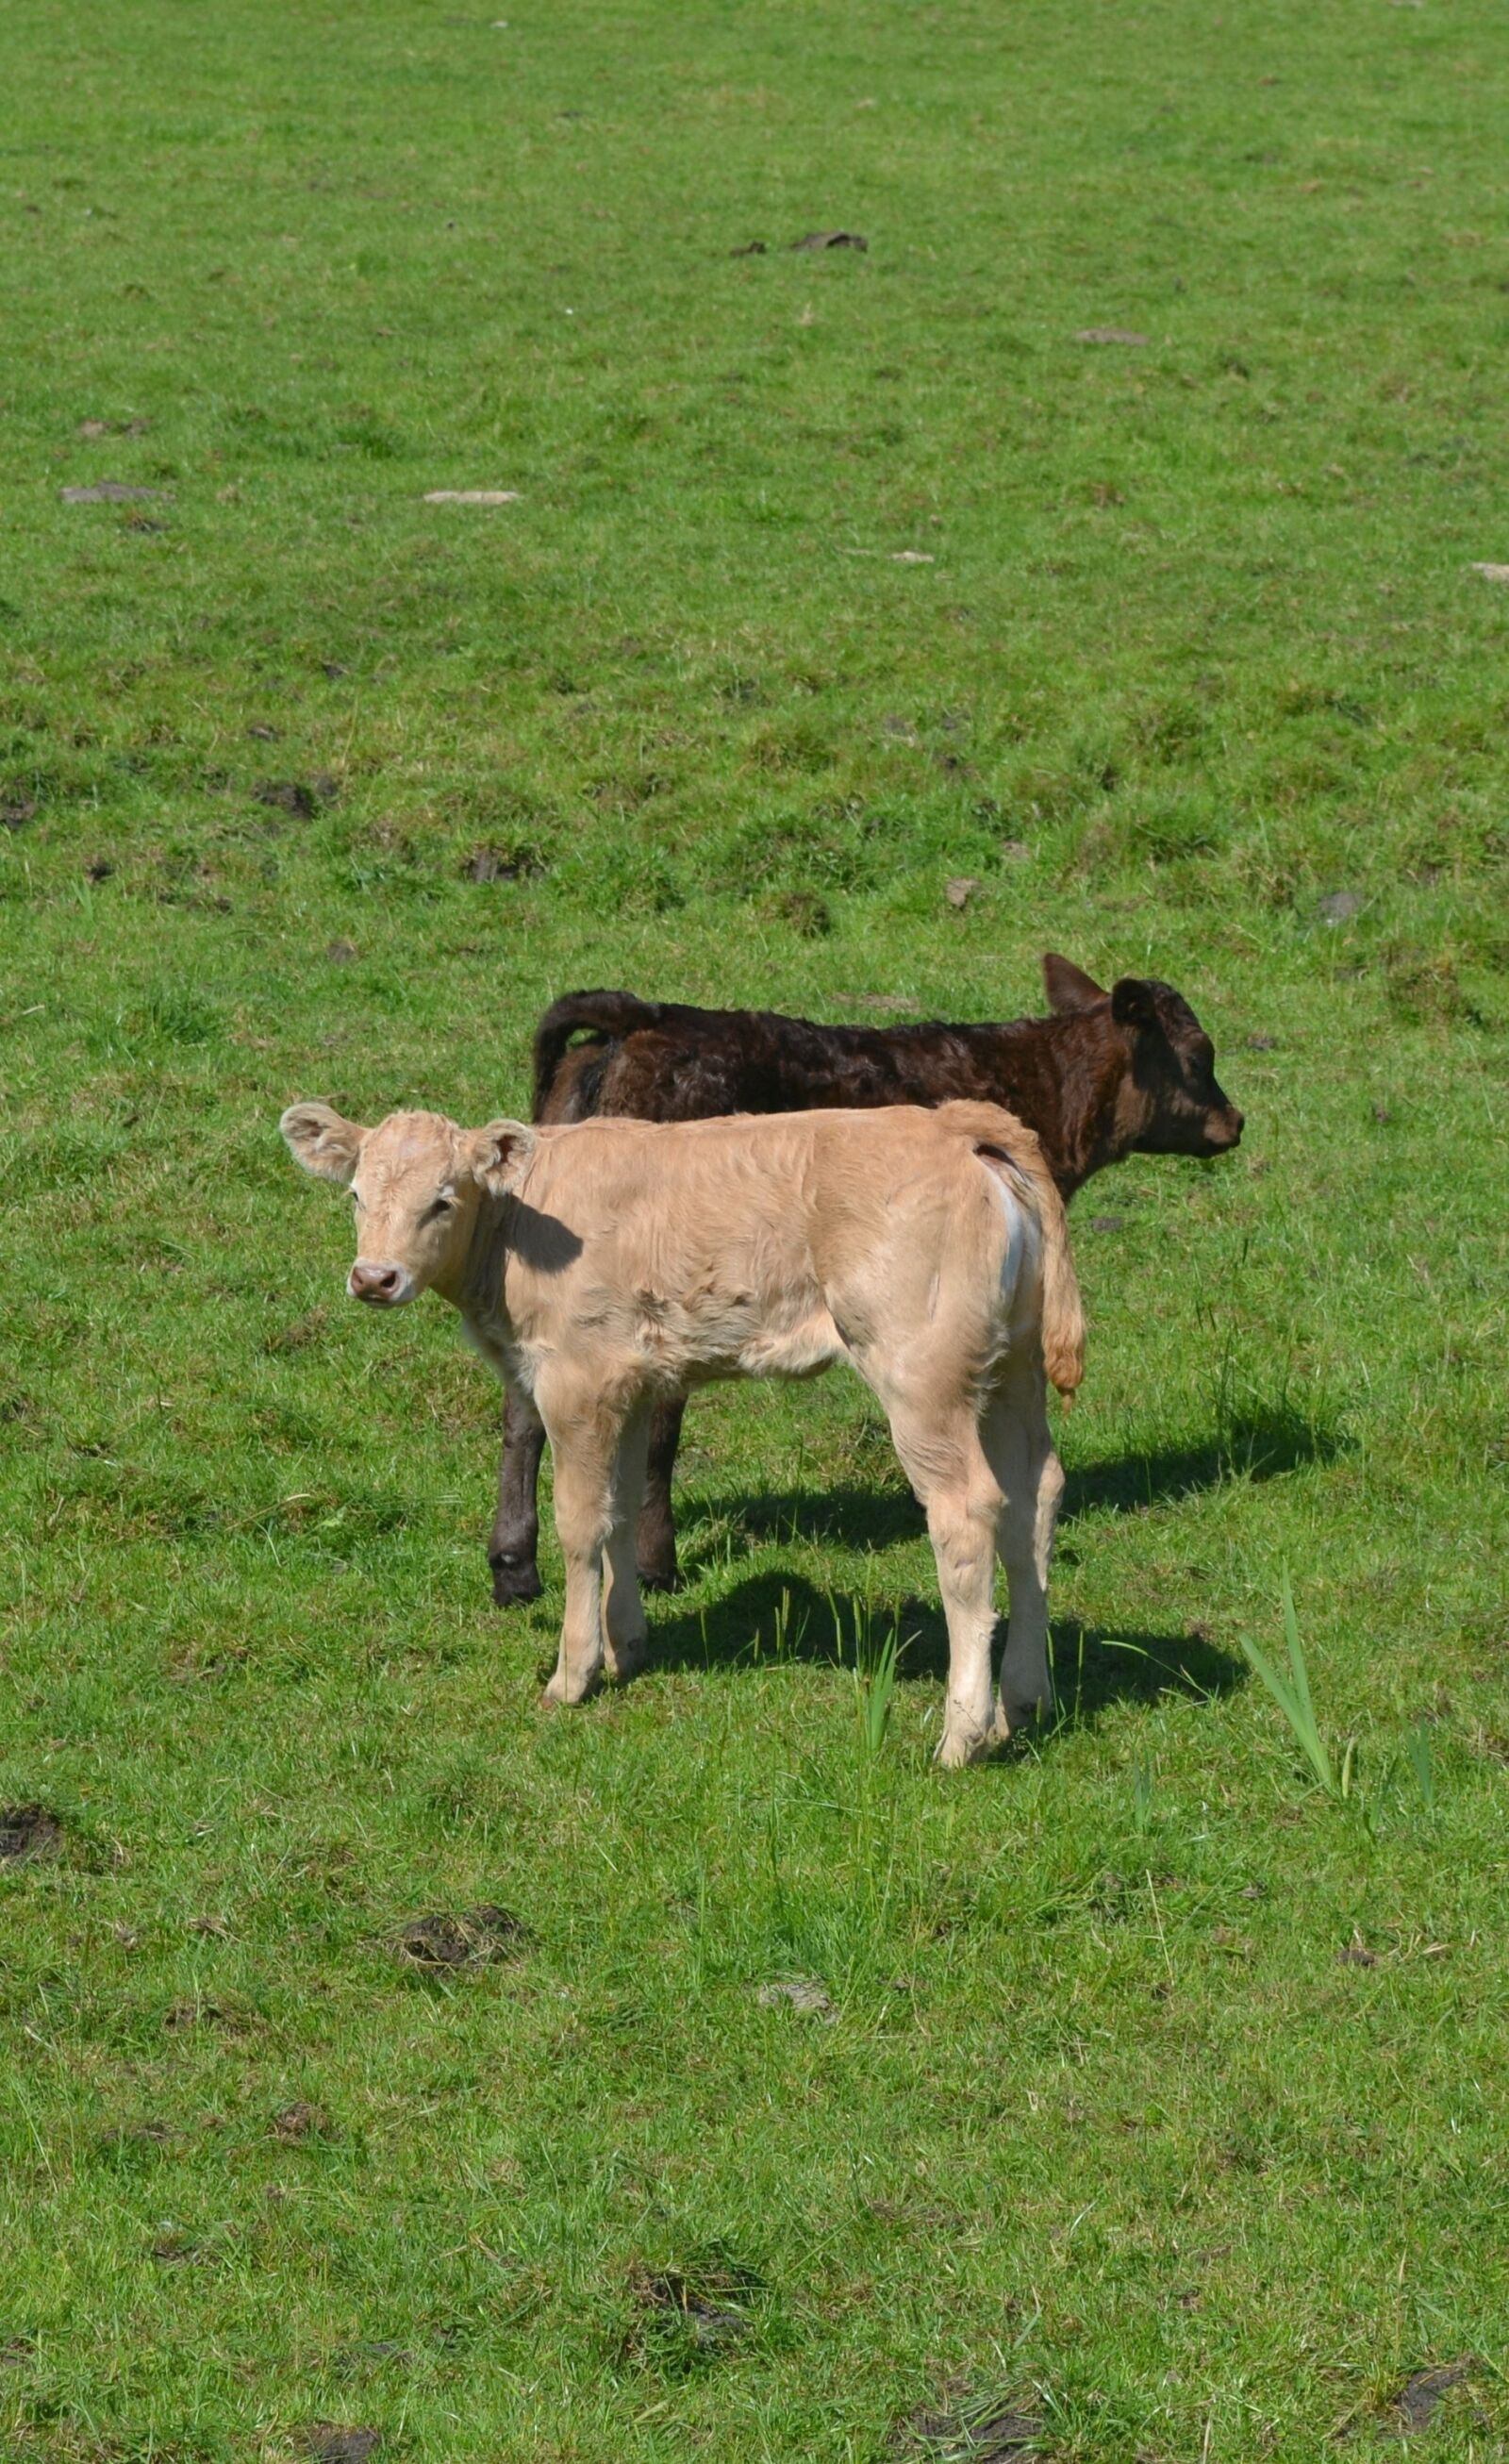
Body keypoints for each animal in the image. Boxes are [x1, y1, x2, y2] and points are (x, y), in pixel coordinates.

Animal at [281, 1097, 1085, 1766]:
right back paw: (1025, 1701)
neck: (518, 1231)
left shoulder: (577, 1380)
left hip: (921, 1372)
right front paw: (626, 1647)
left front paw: (573, 1673)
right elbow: (618, 1511)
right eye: (356, 1195)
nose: (374, 1278)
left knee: (966, 1514)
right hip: (1011, 1368)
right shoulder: (635, 1384)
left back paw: (963, 1734)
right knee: (1035, 1498)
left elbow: (580, 1522)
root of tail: (959, 1125)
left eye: (443, 1200)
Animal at [487, 954, 1243, 1606]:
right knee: (655, 1430)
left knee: (526, 1412)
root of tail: (643, 1017)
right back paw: (654, 1563)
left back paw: (514, 1568)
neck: (1038, 1086)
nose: (1234, 1121)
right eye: (1200, 1054)